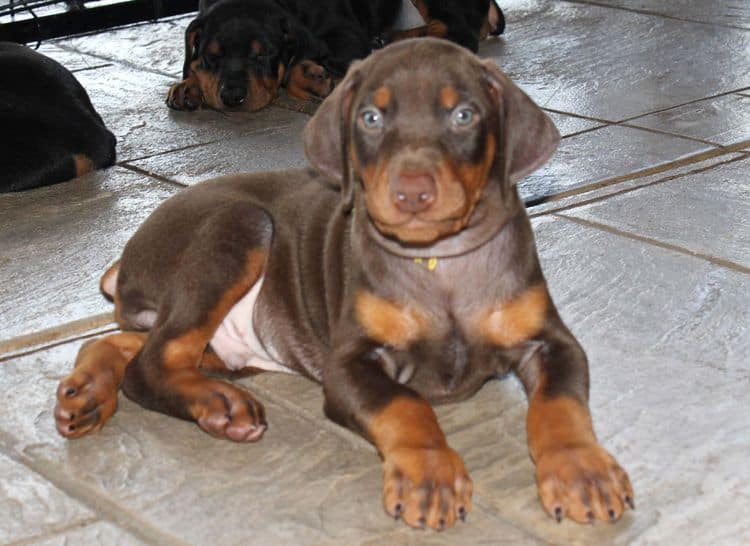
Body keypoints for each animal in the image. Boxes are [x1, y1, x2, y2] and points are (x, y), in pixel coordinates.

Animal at [55, 37, 636, 528]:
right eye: (370, 118)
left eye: (464, 114)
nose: (412, 192)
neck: (439, 262)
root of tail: (127, 254)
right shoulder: (350, 363)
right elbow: (405, 406)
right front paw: (430, 474)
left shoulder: (552, 341)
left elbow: (561, 404)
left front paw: (583, 471)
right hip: (240, 225)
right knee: (150, 364)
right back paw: (217, 406)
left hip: (226, 341)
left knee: (127, 342)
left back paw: (87, 393)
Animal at [165, 0, 506, 112]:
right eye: (212, 56)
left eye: (262, 56)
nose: (232, 97)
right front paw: (187, 86)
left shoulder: (345, 34)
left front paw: (312, 77)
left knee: (458, 31)